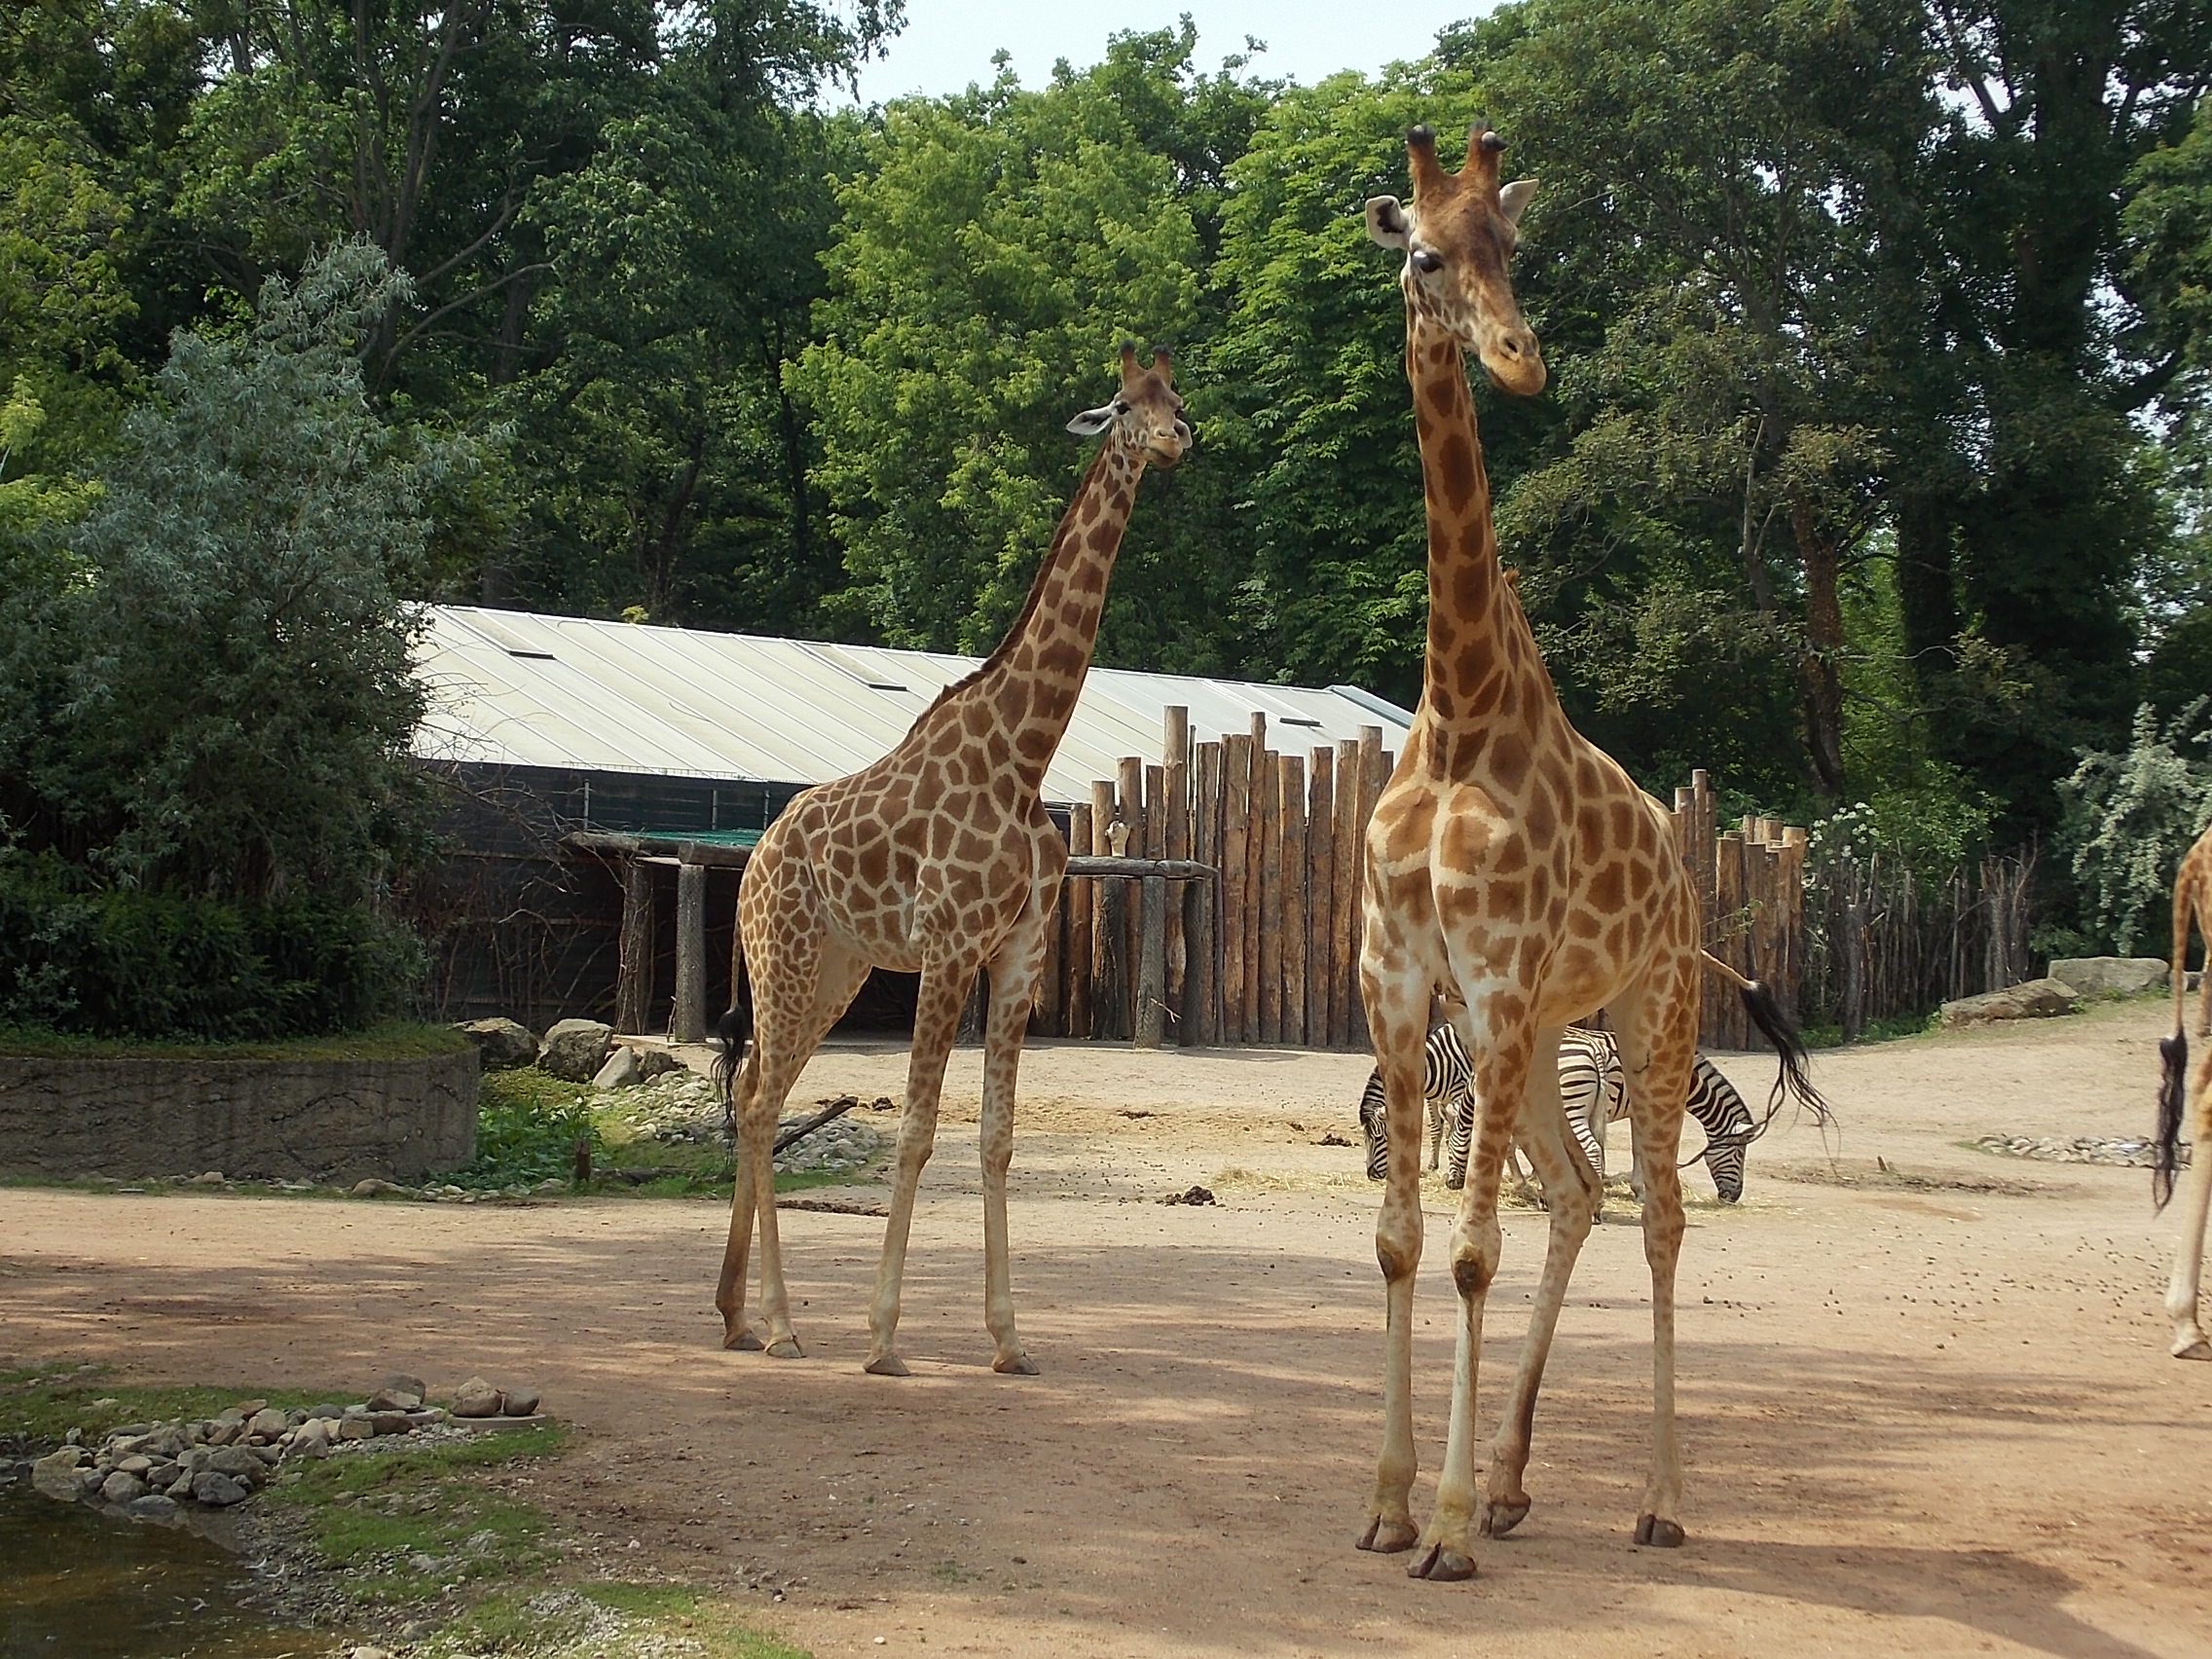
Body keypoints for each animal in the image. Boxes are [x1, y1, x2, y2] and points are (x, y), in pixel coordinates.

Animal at [717, 347, 1185, 1380]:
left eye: (1176, 397)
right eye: (1124, 404)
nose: (1178, 438)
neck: (1024, 755)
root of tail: (751, 865)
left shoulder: (1015, 954)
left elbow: (998, 1138)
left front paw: (1009, 1339)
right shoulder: (949, 947)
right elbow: (919, 1130)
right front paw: (885, 1336)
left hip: (836, 970)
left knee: (757, 1091)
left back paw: (731, 1314)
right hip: (787, 956)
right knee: (762, 1104)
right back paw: (779, 1324)